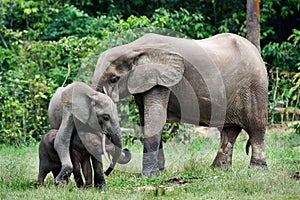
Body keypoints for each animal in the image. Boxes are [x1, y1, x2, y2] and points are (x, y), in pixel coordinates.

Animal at [92, 33, 270, 176]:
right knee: (229, 130)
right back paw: (218, 169)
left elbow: (155, 119)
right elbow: (146, 120)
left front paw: (146, 176)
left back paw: (257, 170)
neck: (133, 48)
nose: (107, 172)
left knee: (256, 126)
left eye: (113, 79)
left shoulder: (161, 81)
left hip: (255, 85)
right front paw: (159, 172)